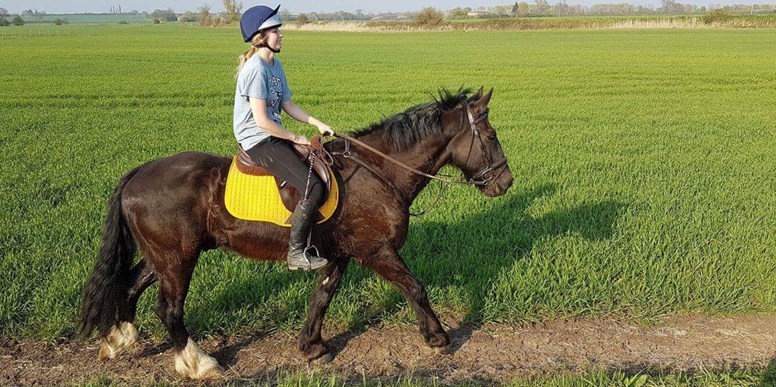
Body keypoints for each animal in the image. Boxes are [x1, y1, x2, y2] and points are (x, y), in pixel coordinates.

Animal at [80, 87, 516, 378]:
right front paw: (438, 337)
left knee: (130, 286)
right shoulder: (377, 250)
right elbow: (415, 287)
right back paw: (197, 363)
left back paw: (118, 340)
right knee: (168, 308)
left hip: (163, 255)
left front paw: (311, 347)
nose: (505, 182)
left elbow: (321, 298)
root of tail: (138, 172)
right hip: (177, 259)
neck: (379, 171)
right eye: (491, 136)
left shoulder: (340, 253)